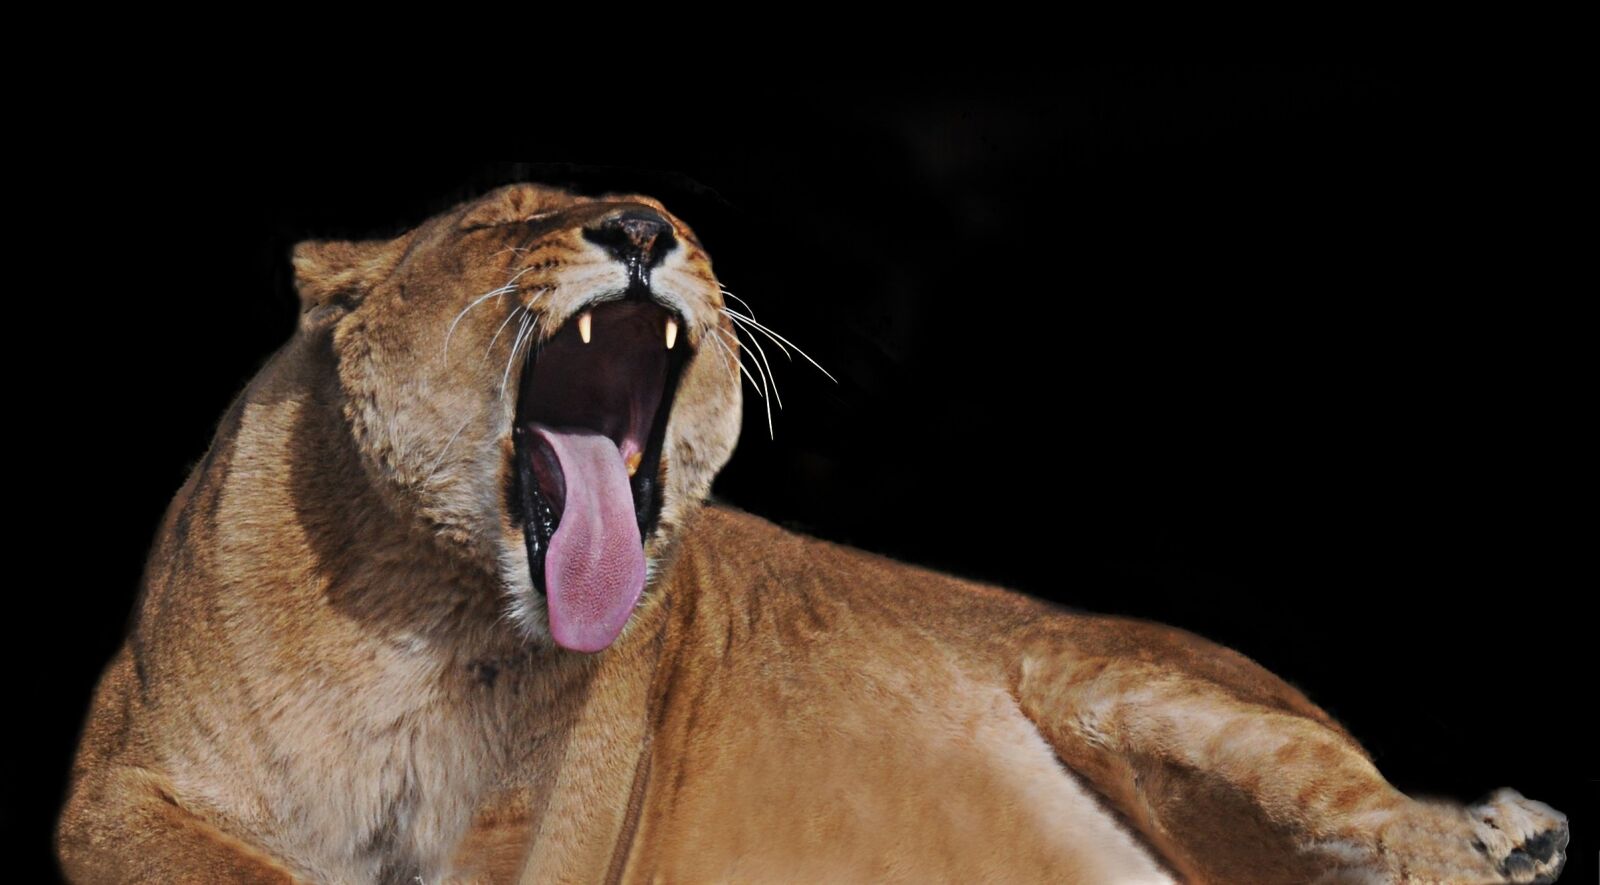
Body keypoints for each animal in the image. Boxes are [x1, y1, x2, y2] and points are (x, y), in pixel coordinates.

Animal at [57, 181, 1568, 883]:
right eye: (506, 217)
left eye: (680, 222)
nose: (642, 226)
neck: (427, 613)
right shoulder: (116, 791)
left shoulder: (548, 842)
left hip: (1118, 681)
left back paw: (1503, 833)